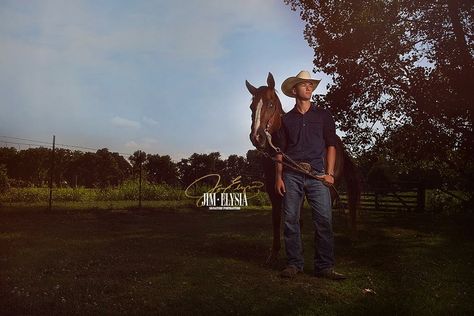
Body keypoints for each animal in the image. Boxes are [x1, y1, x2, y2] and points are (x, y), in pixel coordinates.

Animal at [246, 71, 362, 264]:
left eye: (270, 104)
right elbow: (276, 219)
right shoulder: (273, 190)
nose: (257, 137)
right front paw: (274, 254)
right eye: (251, 107)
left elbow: (298, 220)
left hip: (329, 188)